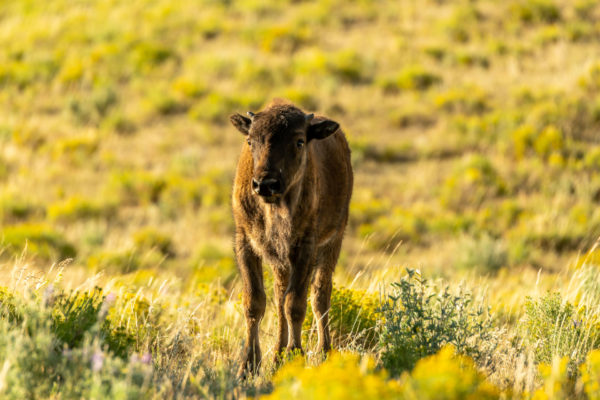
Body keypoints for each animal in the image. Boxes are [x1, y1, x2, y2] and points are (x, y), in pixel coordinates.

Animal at [229, 101, 352, 376]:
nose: (265, 184)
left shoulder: (305, 248)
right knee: (279, 295)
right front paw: (247, 367)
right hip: (281, 261)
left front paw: (295, 357)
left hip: (334, 241)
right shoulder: (246, 243)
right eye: (251, 141)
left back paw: (324, 352)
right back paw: (276, 356)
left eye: (299, 141)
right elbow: (255, 302)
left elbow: (295, 304)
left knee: (319, 296)